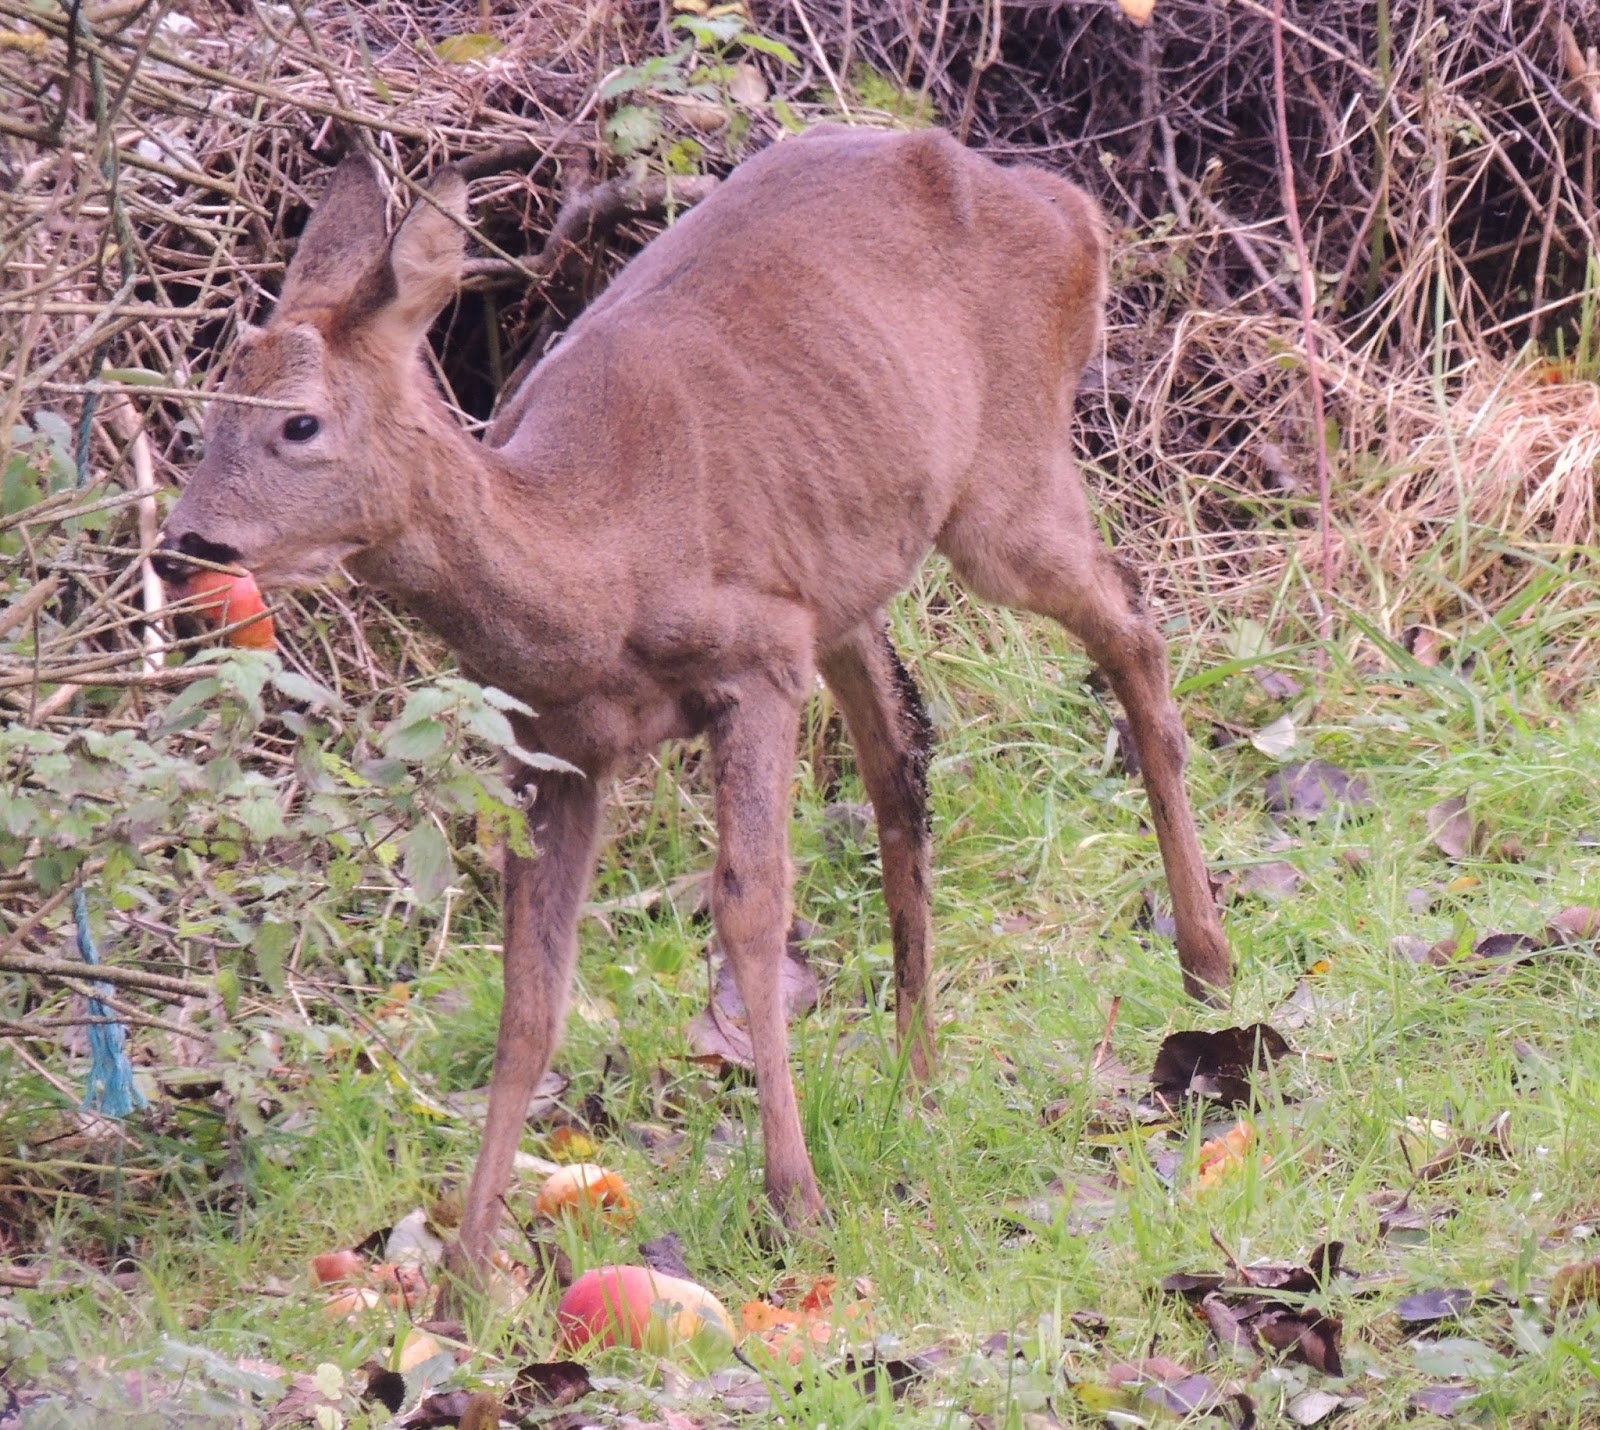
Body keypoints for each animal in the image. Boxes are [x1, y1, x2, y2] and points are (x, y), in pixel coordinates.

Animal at [155, 124, 1231, 1284]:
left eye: (300, 424)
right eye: (209, 415)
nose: (184, 547)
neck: (599, 562)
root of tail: (1068, 207)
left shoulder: (754, 662)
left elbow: (752, 911)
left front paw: (795, 1198)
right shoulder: (552, 745)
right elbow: (530, 989)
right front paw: (470, 1267)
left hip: (1002, 485)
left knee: (1130, 617)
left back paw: (1206, 967)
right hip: (843, 574)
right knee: (904, 754)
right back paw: (920, 1071)